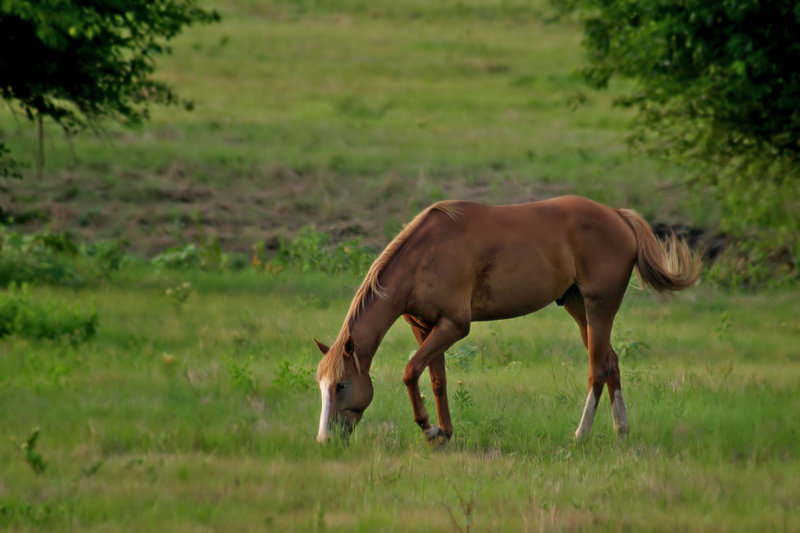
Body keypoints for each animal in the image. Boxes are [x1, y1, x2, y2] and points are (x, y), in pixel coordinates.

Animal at [312, 193, 700, 442]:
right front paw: (444, 432)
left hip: (600, 305)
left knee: (597, 369)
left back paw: (581, 434)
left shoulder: (454, 326)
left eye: (341, 385)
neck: (424, 255)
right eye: (321, 385)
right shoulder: (424, 328)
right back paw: (621, 431)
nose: (325, 439)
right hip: (578, 307)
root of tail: (619, 215)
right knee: (611, 361)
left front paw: (429, 428)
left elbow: (410, 372)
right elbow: (436, 379)